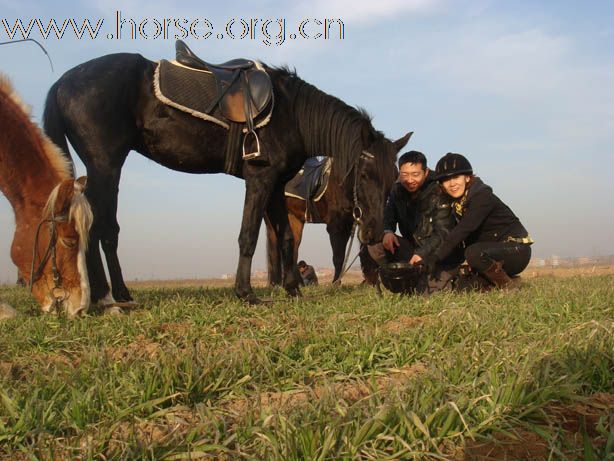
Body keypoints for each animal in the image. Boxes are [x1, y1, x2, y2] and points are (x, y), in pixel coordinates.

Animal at [42, 45, 410, 304]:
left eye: (393, 177)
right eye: (365, 173)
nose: (374, 233)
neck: (292, 113)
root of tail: (61, 83)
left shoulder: (276, 185)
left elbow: (286, 239)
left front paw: (293, 290)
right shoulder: (260, 178)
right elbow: (248, 235)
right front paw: (246, 293)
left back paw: (117, 293)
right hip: (105, 166)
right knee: (97, 226)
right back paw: (104, 296)